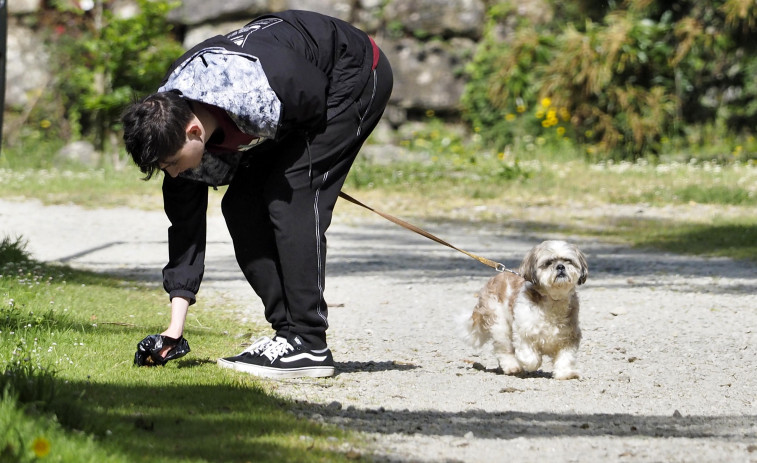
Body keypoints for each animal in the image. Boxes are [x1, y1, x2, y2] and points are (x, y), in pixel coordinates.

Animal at [460, 241, 592, 378]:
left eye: (568, 261)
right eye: (548, 263)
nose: (560, 266)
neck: (553, 300)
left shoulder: (569, 337)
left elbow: (566, 357)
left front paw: (566, 373)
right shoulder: (524, 332)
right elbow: (531, 358)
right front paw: (531, 363)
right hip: (499, 324)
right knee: (504, 348)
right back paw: (512, 366)